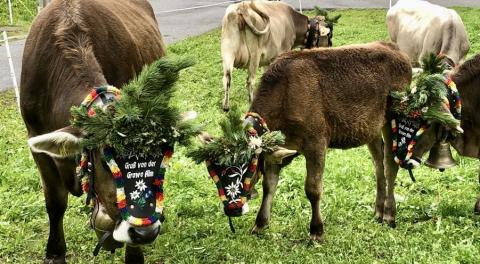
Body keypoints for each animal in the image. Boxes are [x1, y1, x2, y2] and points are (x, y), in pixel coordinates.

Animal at [21, 0, 167, 262]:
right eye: (106, 163)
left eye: (160, 157)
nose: (145, 232)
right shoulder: (36, 141)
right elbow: (55, 202)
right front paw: (55, 252)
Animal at [244, 40, 412, 239]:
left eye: (243, 169)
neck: (284, 93)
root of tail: (394, 48)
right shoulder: (276, 150)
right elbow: (269, 185)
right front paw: (260, 223)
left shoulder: (316, 144)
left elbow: (313, 189)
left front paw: (316, 230)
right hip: (372, 128)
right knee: (379, 165)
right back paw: (378, 210)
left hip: (395, 118)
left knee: (390, 165)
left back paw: (389, 214)